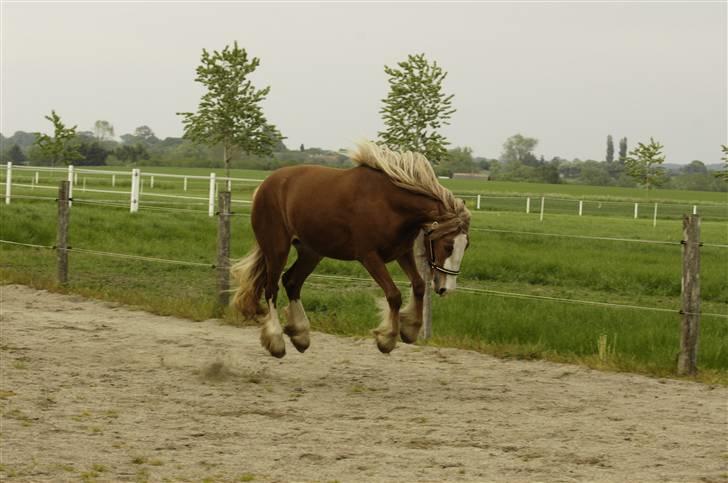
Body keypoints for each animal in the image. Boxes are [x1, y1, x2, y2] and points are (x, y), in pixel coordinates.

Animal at [232, 142, 472, 358]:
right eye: (448, 245)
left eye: (466, 245)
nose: (447, 288)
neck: (390, 204)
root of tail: (264, 185)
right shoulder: (369, 256)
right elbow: (394, 295)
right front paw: (387, 338)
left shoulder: (402, 252)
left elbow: (419, 285)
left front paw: (410, 328)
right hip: (277, 248)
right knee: (271, 288)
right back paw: (276, 341)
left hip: (312, 252)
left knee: (291, 282)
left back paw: (300, 335)